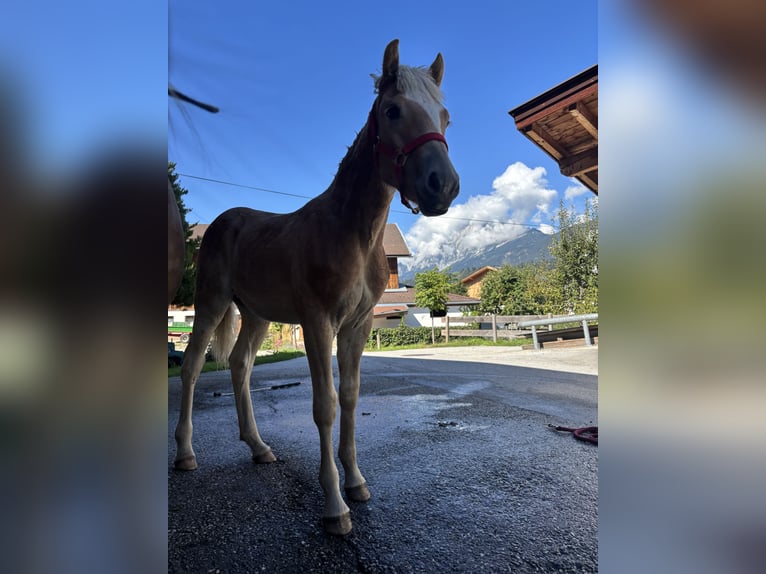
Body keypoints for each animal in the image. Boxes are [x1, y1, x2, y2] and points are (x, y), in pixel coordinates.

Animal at [173, 39, 459, 536]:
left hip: (256, 315)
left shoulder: (357, 327)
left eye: (443, 117)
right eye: (393, 110)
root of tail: (223, 223)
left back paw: (258, 447)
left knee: (240, 365)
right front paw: (334, 507)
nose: (442, 186)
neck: (351, 232)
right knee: (191, 367)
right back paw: (186, 453)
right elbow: (324, 405)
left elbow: (349, 398)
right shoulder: (317, 323)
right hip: (210, 304)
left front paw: (357, 483)